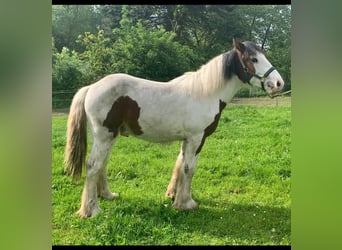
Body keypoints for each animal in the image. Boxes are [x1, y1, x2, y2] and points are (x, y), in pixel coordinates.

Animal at [63, 38, 284, 218]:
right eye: (253, 59)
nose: (278, 83)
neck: (206, 93)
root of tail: (91, 87)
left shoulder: (187, 140)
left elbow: (179, 164)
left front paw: (173, 196)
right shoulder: (196, 138)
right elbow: (189, 168)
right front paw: (186, 203)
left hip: (110, 136)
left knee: (102, 164)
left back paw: (107, 195)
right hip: (104, 136)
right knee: (93, 165)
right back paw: (91, 210)